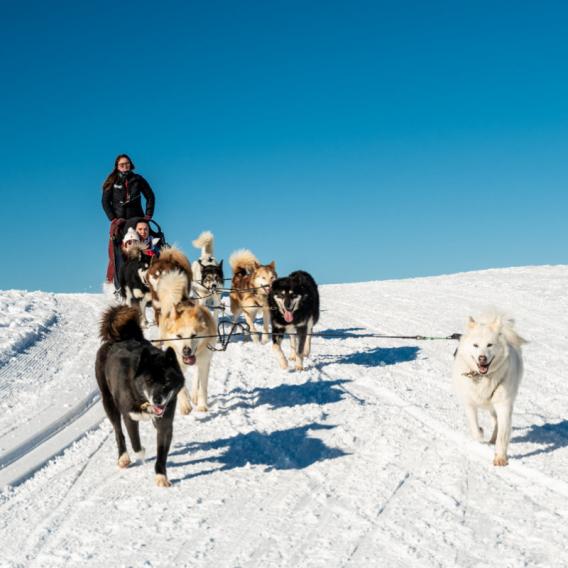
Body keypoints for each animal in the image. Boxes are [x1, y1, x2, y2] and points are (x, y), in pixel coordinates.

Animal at [95, 306, 184, 488]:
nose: (158, 400)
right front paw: (141, 454)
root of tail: (119, 338)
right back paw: (123, 458)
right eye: (148, 380)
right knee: (119, 432)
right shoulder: (129, 417)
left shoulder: (165, 423)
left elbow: (161, 452)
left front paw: (161, 476)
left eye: (167, 380)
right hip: (109, 403)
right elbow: (135, 444)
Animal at [452, 310, 528, 466]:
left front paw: (500, 457)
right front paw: (480, 433)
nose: (482, 358)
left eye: (489, 345)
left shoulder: (504, 405)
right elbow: (474, 426)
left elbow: (503, 434)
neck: (483, 378)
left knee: (498, 424)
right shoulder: (469, 403)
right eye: (475, 345)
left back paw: (494, 439)